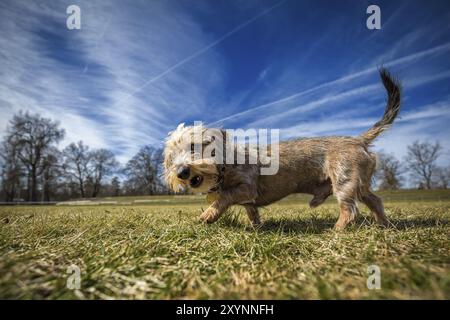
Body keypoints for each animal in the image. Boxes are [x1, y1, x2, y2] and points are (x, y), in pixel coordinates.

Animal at [164, 68, 400, 230]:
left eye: (195, 145)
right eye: (171, 157)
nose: (181, 172)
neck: (225, 167)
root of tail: (358, 140)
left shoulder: (246, 188)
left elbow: (225, 198)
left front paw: (208, 215)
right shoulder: (249, 200)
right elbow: (251, 212)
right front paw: (255, 227)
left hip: (344, 180)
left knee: (350, 210)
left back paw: (336, 229)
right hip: (359, 184)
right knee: (375, 200)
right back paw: (384, 224)